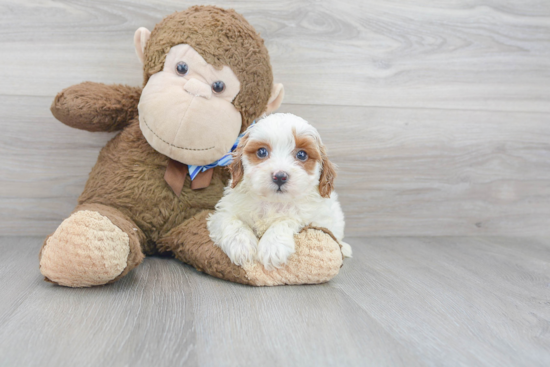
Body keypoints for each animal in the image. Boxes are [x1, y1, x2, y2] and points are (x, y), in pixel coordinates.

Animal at [207, 113, 354, 272]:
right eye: (262, 152)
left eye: (302, 155)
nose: (279, 176)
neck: (273, 201)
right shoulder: (222, 212)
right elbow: (230, 220)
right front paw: (241, 245)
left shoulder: (313, 218)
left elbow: (288, 220)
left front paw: (272, 247)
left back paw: (345, 248)